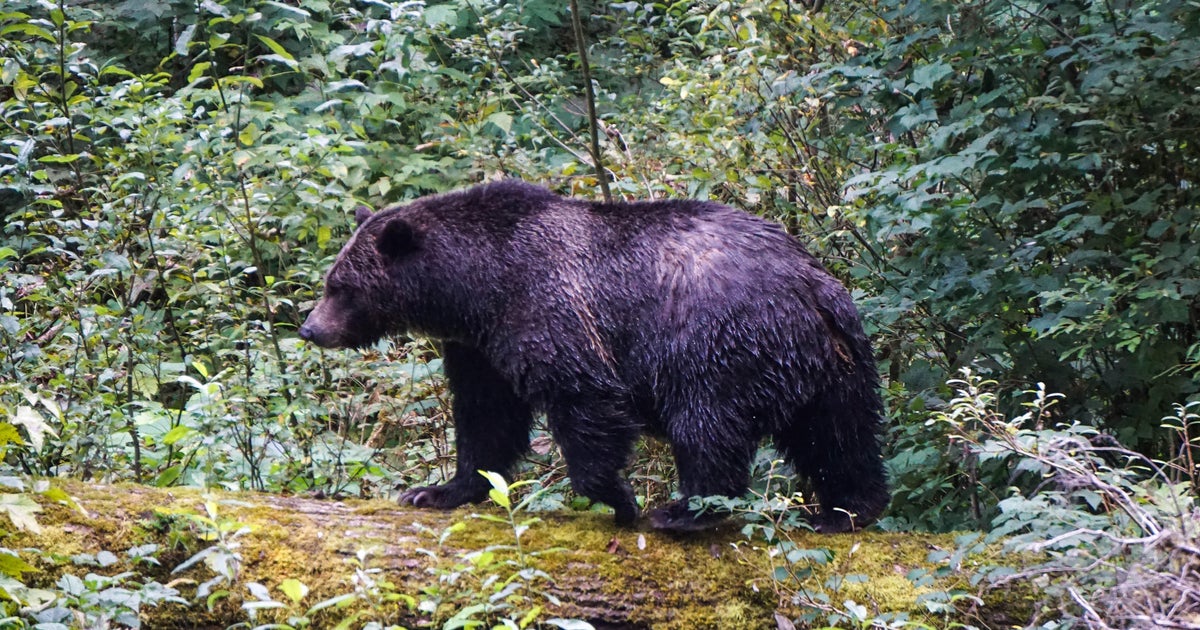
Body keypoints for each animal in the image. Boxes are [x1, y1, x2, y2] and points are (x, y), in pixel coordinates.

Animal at [299, 180, 889, 533]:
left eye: (341, 287)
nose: (310, 328)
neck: (477, 288)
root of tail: (810, 283)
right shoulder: (479, 348)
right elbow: (487, 421)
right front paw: (437, 490)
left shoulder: (549, 309)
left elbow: (584, 398)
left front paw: (619, 499)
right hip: (836, 363)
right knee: (841, 437)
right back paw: (846, 511)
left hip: (717, 343)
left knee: (708, 426)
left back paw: (682, 510)